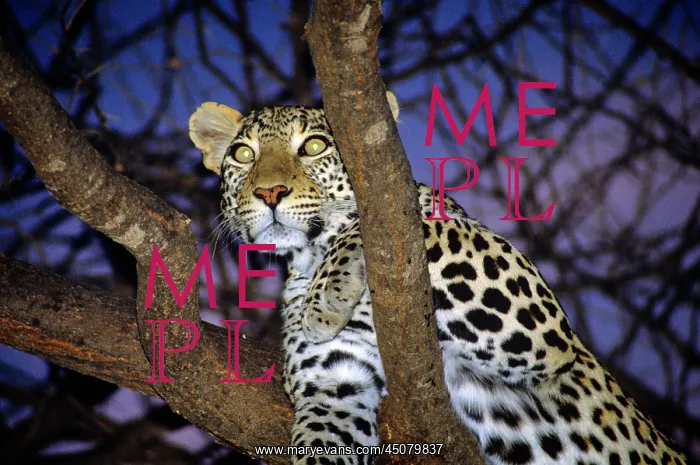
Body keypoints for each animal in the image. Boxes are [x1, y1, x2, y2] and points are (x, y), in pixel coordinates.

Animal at [188, 93, 687, 465]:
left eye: (313, 147)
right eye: (243, 155)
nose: (269, 192)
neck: (311, 254)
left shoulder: (536, 325)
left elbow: (405, 219)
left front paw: (327, 297)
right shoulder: (334, 385)